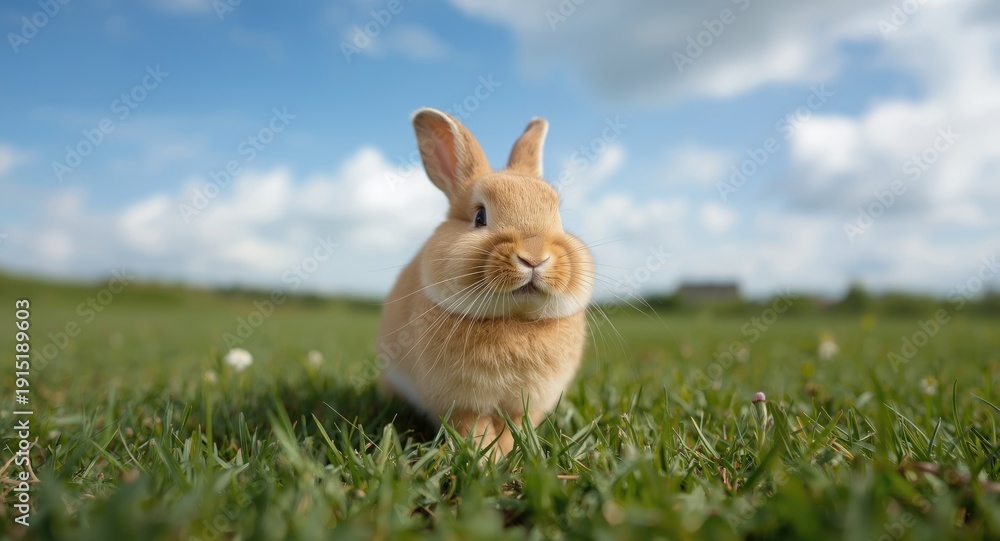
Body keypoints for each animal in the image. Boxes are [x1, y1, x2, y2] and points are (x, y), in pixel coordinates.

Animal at [378, 107, 594, 457]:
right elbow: (474, 429)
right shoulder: (462, 404)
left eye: (559, 219)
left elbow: (515, 426)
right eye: (480, 217)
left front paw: (509, 454)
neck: (515, 320)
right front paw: (487, 459)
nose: (534, 257)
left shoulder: (525, 404)